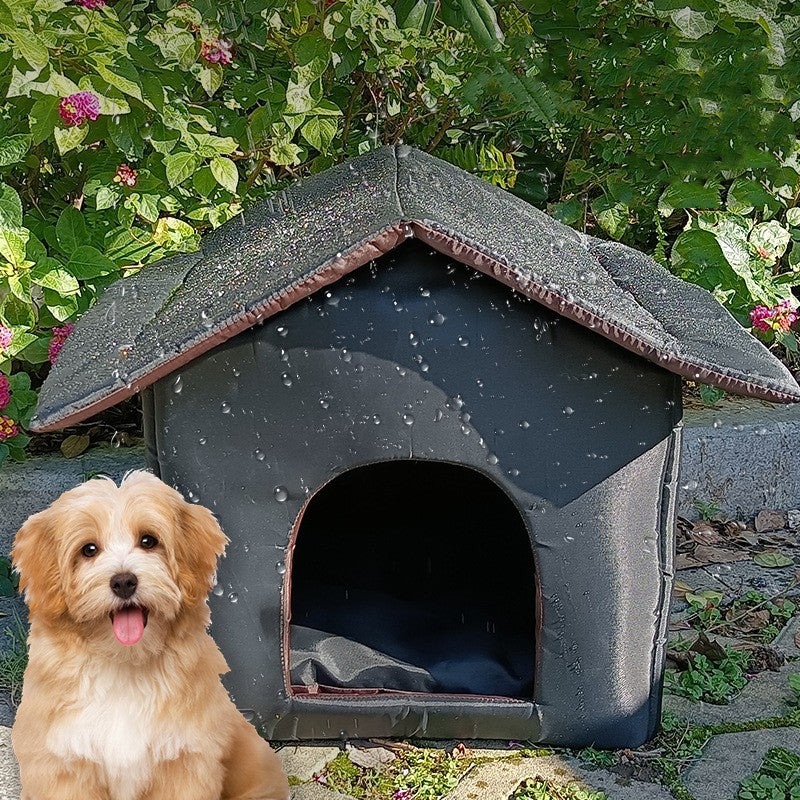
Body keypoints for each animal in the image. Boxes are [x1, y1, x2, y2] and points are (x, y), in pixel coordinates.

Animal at [10, 468, 290, 800]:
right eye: (88, 550)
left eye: (148, 541)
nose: (123, 582)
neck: (124, 664)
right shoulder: (63, 764)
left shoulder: (185, 760)